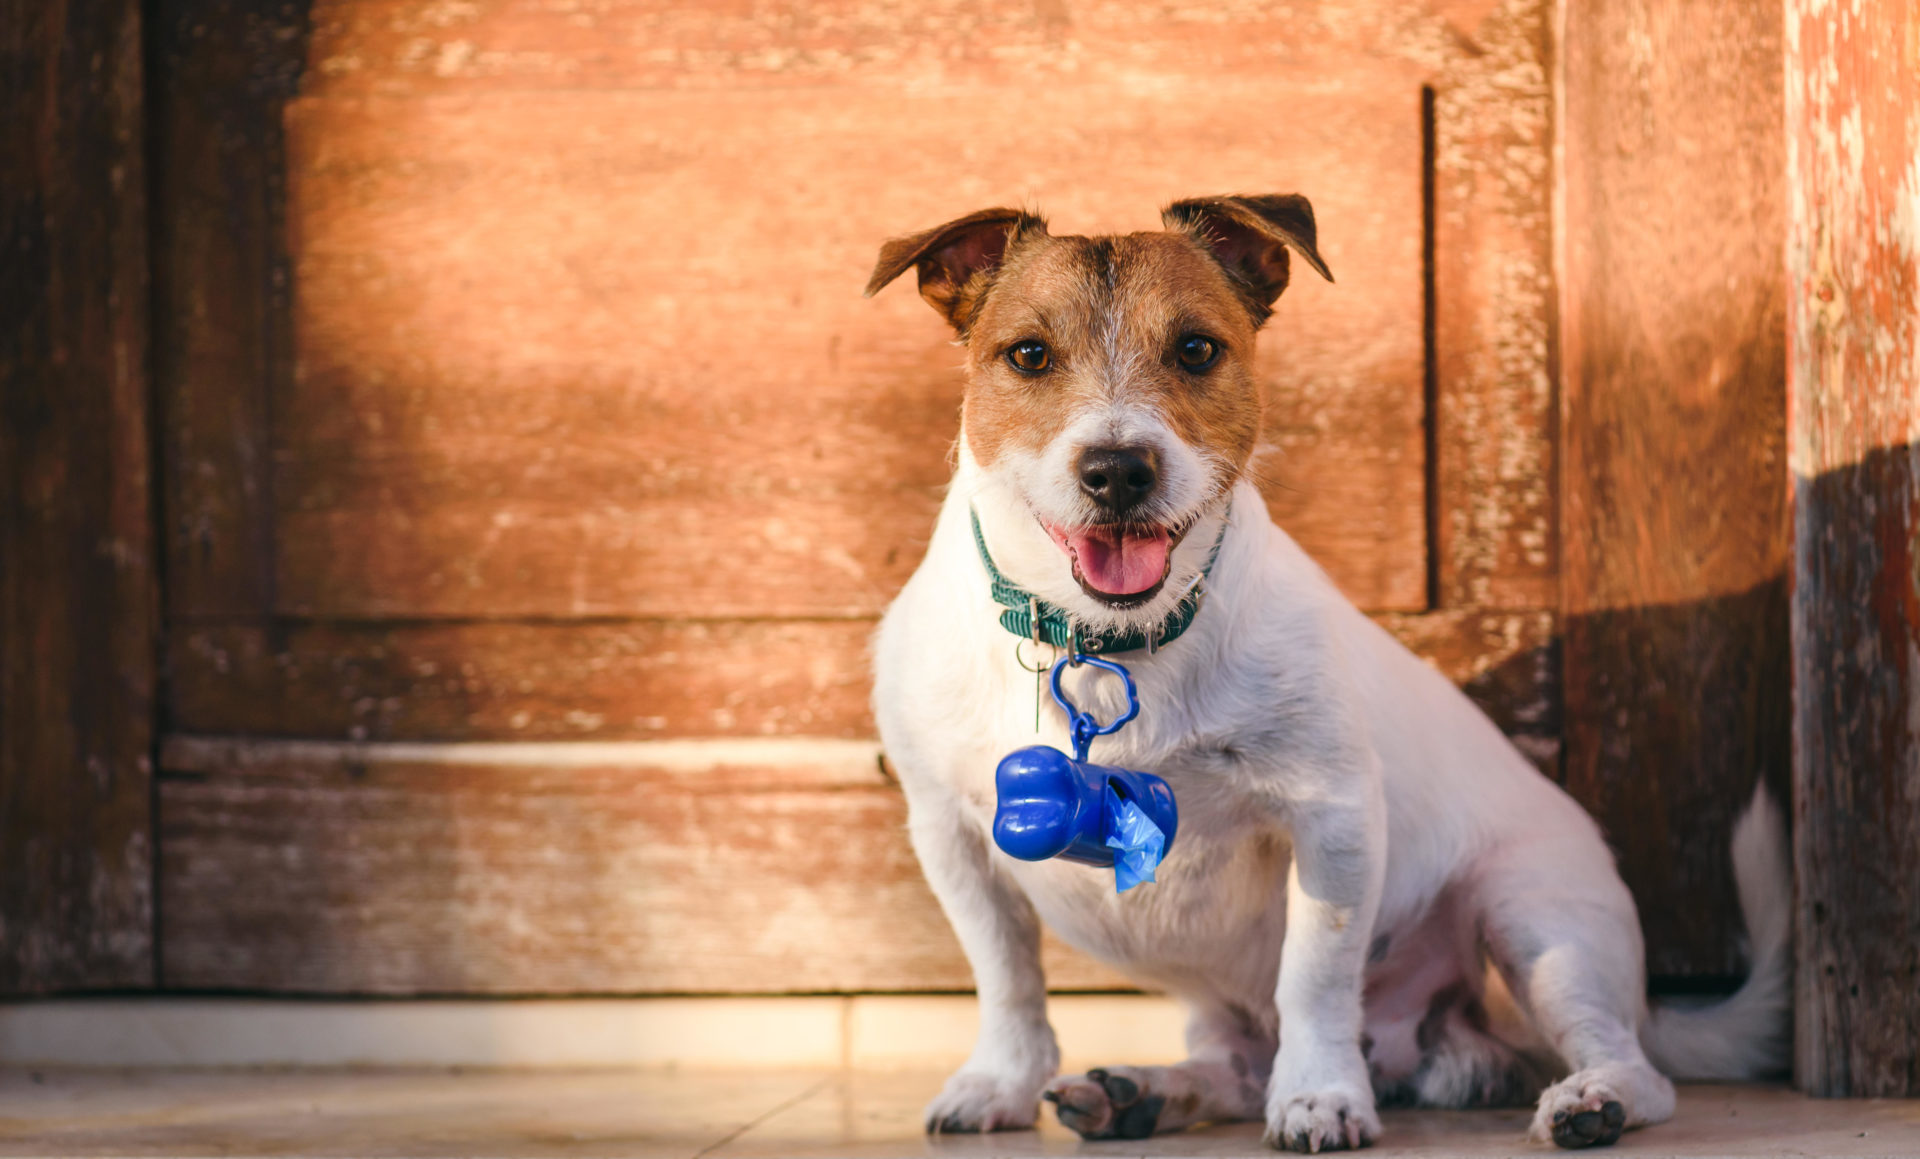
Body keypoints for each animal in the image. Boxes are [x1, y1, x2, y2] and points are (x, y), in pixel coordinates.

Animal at [864, 199, 1789, 1151]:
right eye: (1028, 355)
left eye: (1196, 348)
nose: (1118, 470)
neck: (1112, 642)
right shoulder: (950, 833)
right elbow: (1005, 974)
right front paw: (1001, 1080)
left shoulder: (1331, 817)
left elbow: (1313, 975)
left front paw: (1319, 1094)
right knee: (1235, 1064)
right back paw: (1143, 1090)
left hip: (1538, 916)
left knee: (1634, 1065)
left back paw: (1592, 1098)